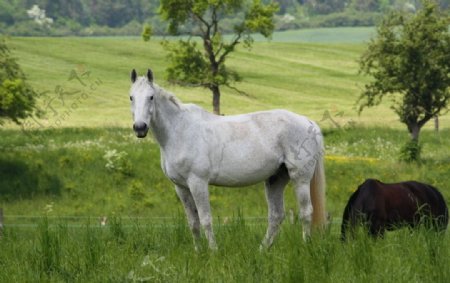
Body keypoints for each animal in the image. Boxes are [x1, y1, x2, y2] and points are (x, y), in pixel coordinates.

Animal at [128, 69, 326, 251]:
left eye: (151, 97)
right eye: (131, 97)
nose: (140, 128)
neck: (180, 130)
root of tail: (308, 122)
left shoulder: (198, 182)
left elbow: (205, 219)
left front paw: (213, 252)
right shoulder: (181, 187)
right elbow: (193, 222)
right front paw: (198, 253)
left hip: (300, 178)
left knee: (306, 212)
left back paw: (305, 246)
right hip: (275, 179)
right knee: (276, 216)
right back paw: (262, 250)